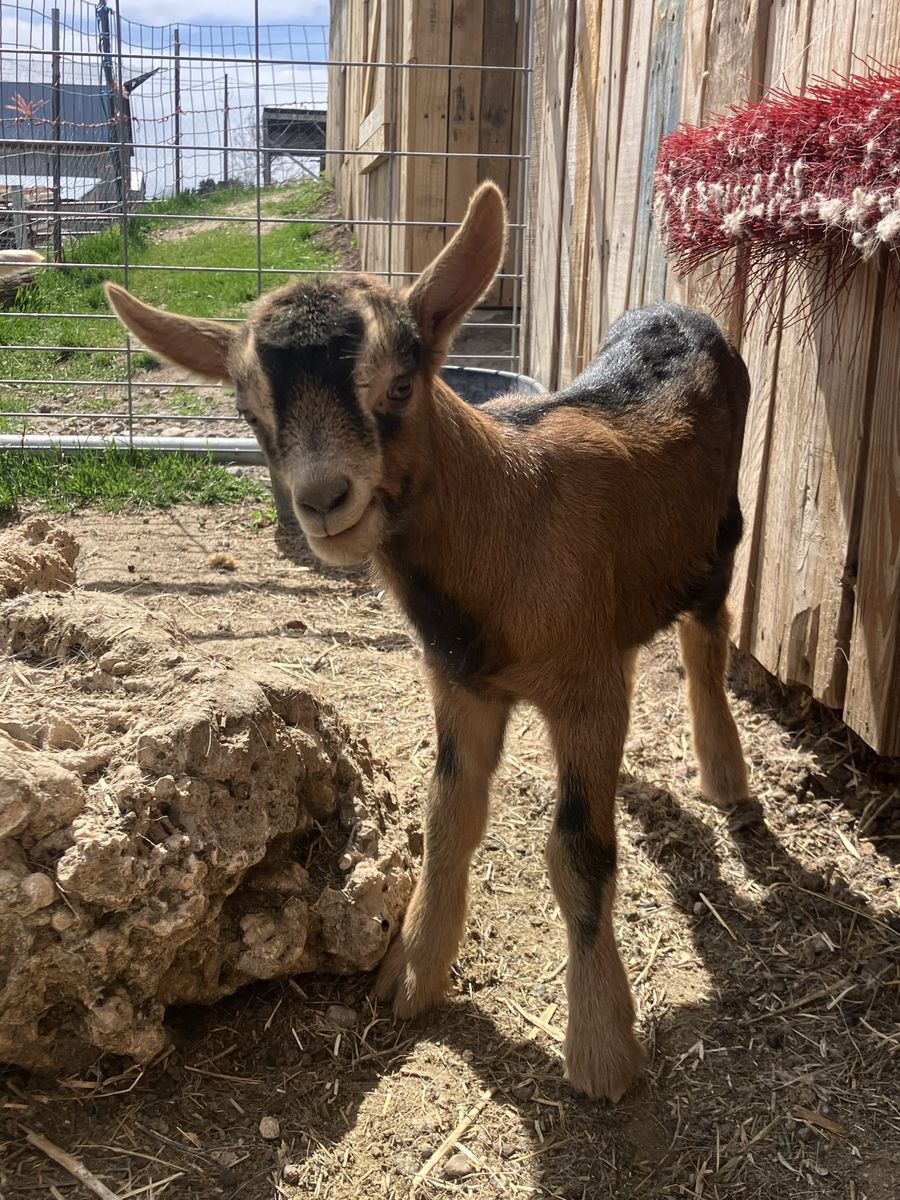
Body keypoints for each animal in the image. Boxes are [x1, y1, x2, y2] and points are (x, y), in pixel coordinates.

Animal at [104, 182, 751, 1101]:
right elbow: (450, 815)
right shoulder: (460, 681)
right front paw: (411, 975)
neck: (515, 514)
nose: (323, 500)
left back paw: (724, 776)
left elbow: (577, 851)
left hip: (718, 538)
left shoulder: (587, 686)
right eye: (248, 412)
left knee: (707, 642)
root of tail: (680, 312)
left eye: (402, 384)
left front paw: (600, 1050)